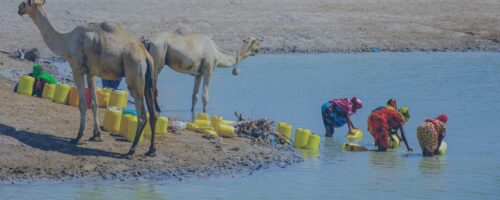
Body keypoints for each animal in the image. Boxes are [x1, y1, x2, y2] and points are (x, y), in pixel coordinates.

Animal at [18, 0, 159, 156]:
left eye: (27, 2)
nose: (19, 8)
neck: (66, 41)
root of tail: (146, 55)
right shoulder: (91, 72)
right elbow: (94, 102)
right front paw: (96, 135)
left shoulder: (77, 69)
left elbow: (83, 103)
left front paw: (78, 137)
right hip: (148, 80)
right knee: (154, 114)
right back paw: (151, 150)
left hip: (134, 73)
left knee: (142, 115)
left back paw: (131, 150)